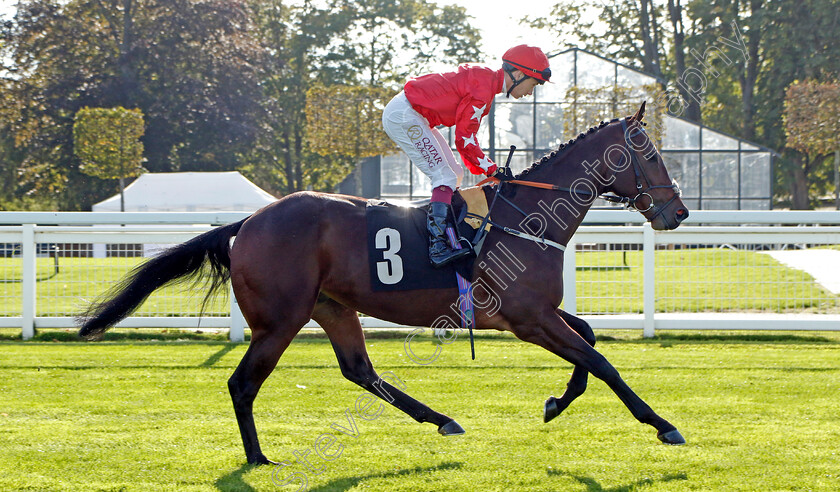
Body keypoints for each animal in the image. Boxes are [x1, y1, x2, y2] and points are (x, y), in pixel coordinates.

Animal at [80, 102, 688, 464]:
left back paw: (441, 420)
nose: (677, 212)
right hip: (280, 320)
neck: (528, 216)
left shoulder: (535, 313)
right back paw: (258, 458)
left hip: (332, 307)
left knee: (359, 369)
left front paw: (556, 403)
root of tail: (249, 221)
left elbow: (588, 340)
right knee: (243, 383)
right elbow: (602, 361)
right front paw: (662, 424)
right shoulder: (526, 318)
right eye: (650, 153)